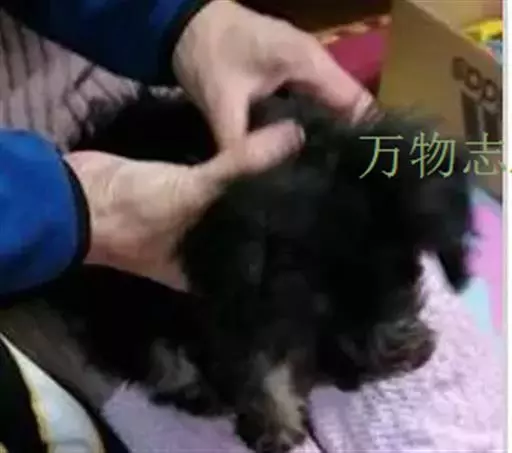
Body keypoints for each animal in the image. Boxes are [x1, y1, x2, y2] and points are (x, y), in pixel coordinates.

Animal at [46, 88, 473, 453]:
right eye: (310, 316)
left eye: (400, 283)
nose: (353, 375)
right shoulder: (238, 307)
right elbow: (257, 365)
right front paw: (275, 425)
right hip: (117, 303)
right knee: (146, 350)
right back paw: (193, 387)